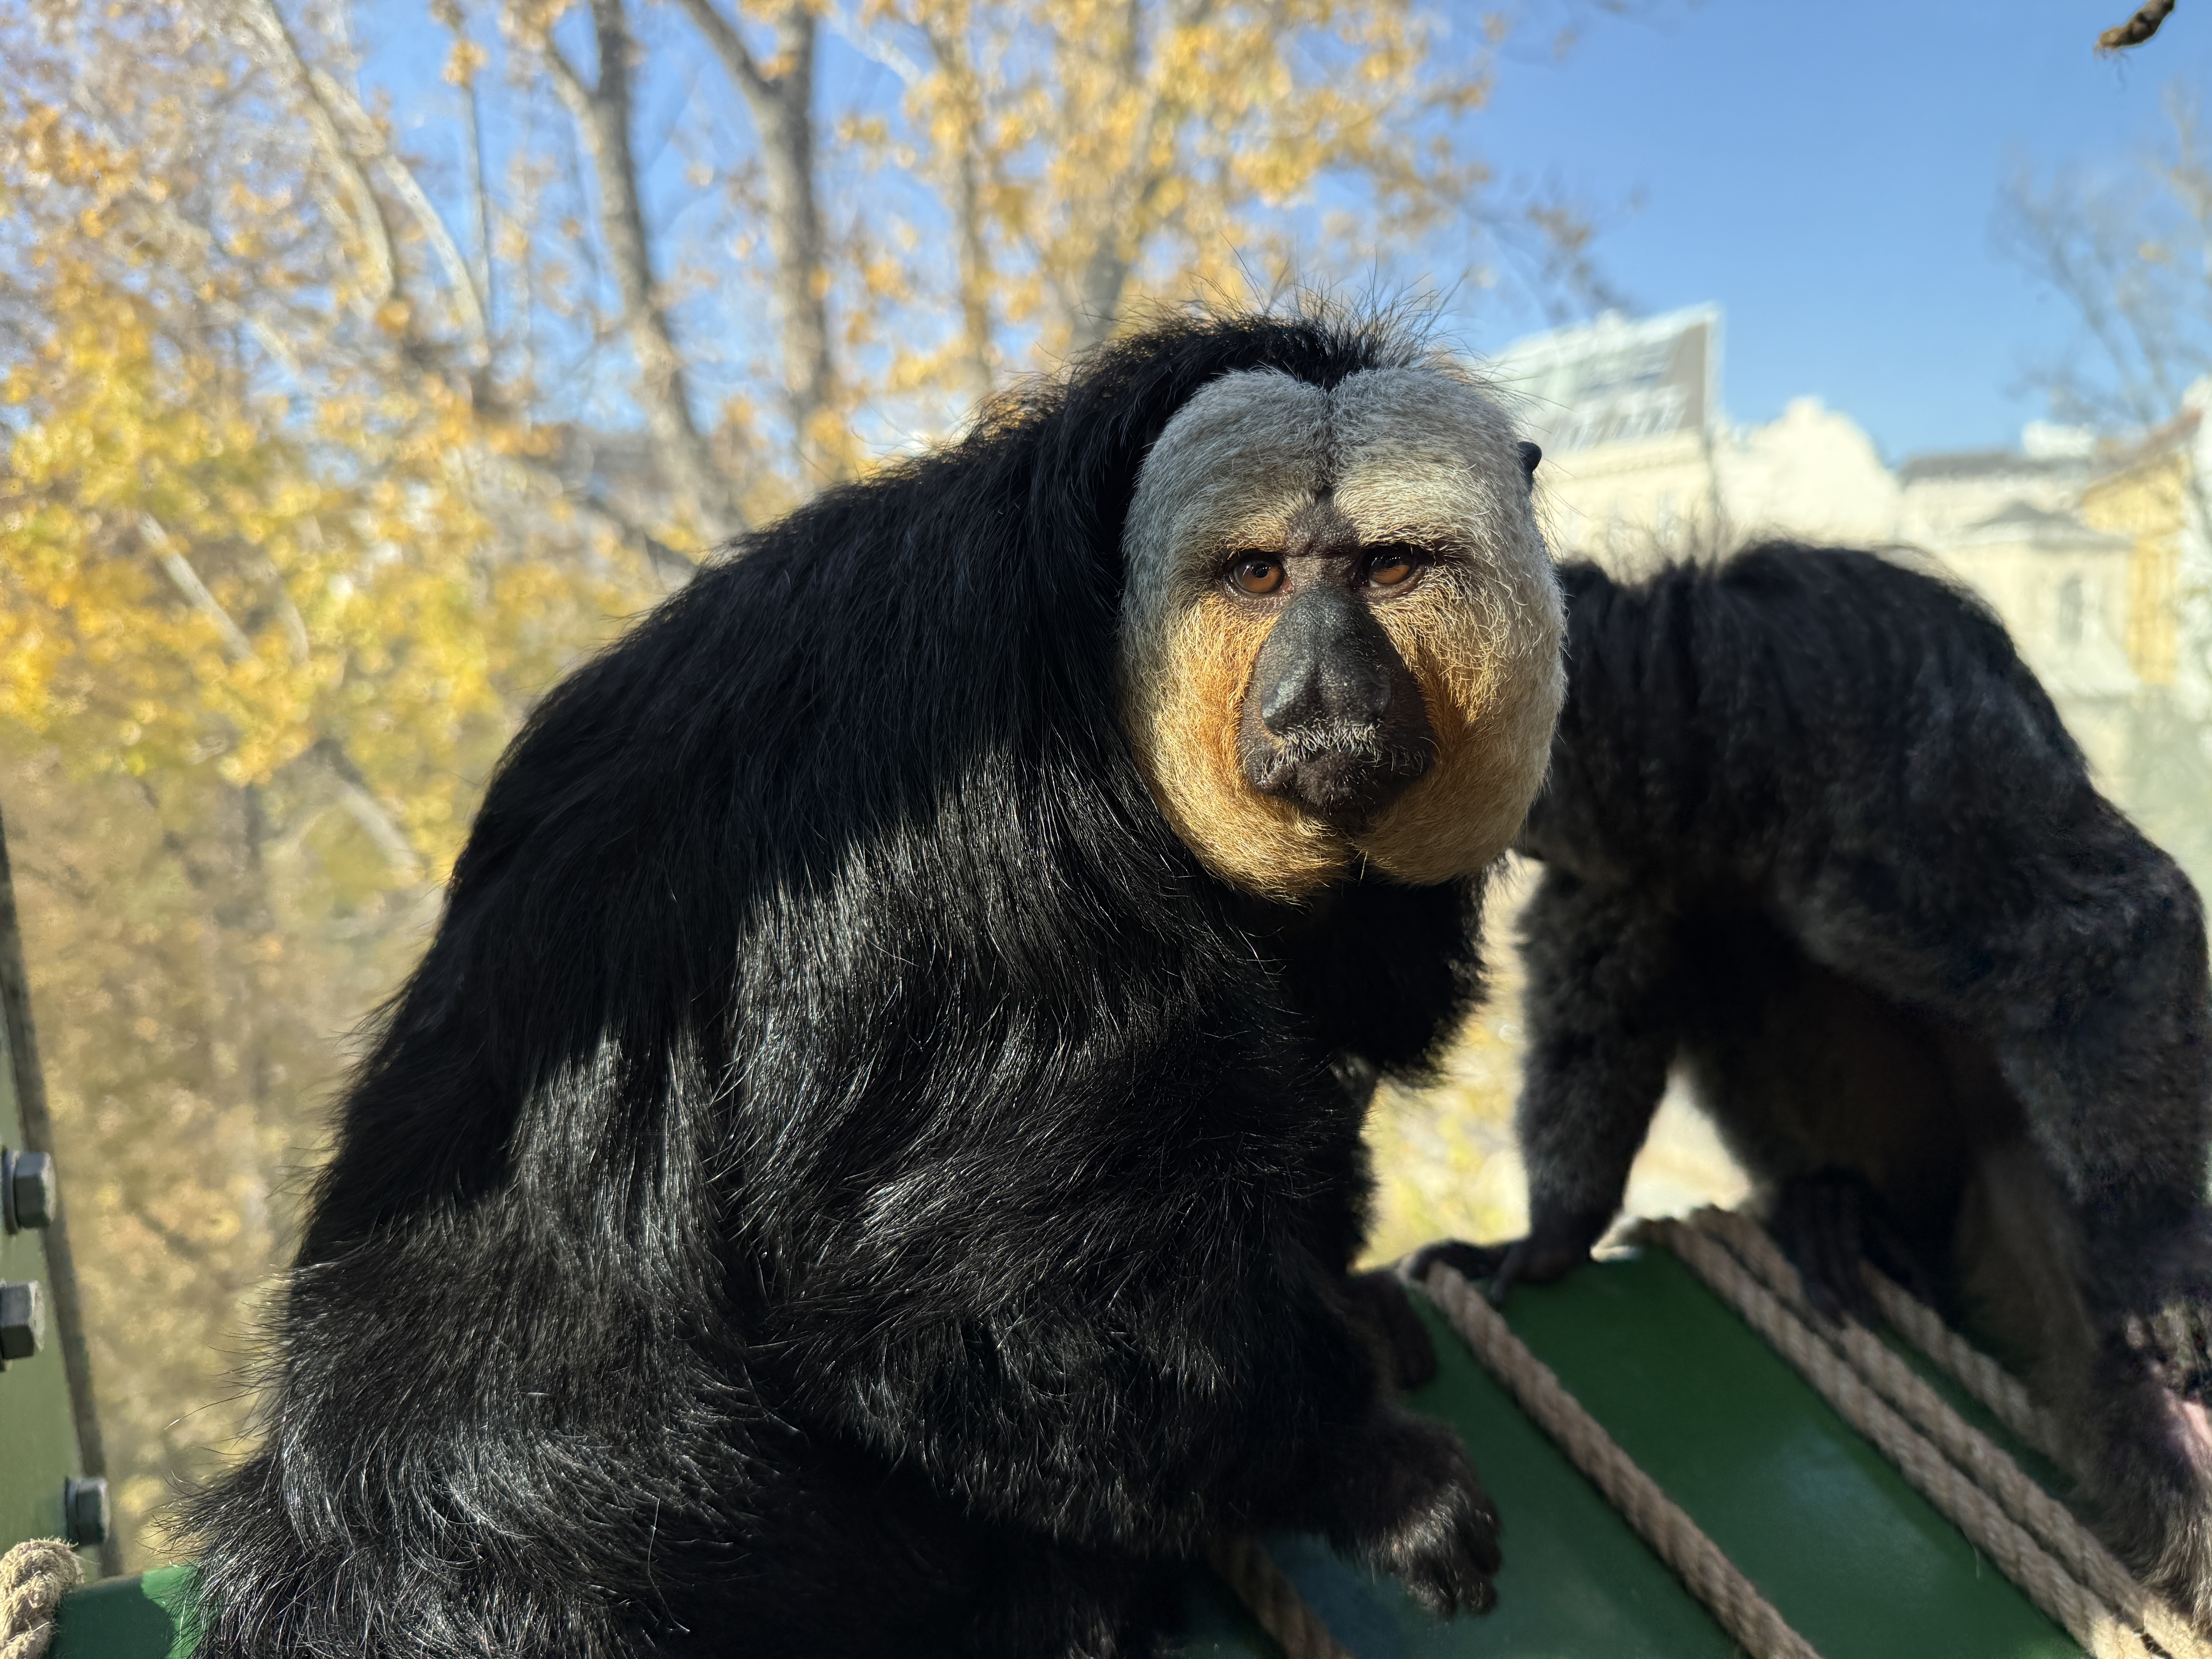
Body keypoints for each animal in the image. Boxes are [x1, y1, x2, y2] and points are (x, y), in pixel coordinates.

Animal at [182, 306, 1567, 1659]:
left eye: (1388, 569)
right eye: (1259, 575)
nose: (1321, 688)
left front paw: (1349, 1303)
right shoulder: (988, 859)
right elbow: (976, 1300)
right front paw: (1365, 1469)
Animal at [1416, 543, 2212, 1618]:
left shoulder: (1901, 749)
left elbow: (2119, 930)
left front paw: (2158, 1264)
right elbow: (1607, 976)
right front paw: (1554, 1237)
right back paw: (1840, 1206)